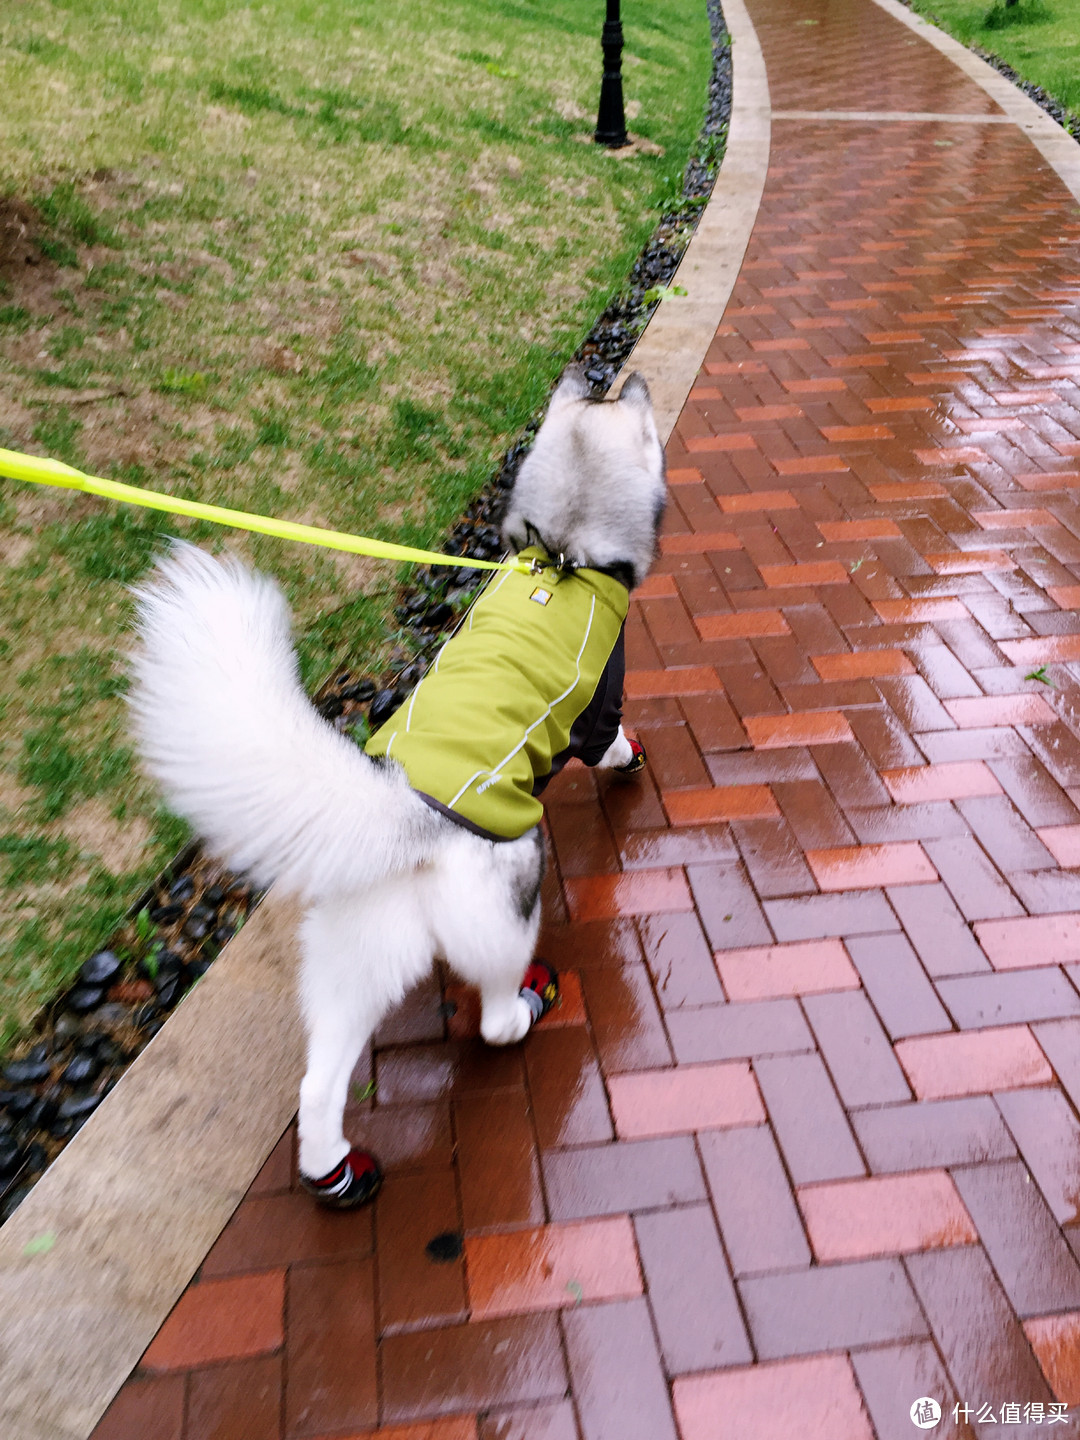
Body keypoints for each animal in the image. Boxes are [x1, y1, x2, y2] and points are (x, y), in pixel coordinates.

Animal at [126, 368, 668, 1203]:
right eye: (622, 403)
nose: (626, 376)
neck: (565, 549)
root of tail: (407, 812)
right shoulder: (595, 703)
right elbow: (606, 739)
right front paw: (629, 755)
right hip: (508, 903)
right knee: (491, 1017)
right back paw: (526, 1004)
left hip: (356, 955)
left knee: (319, 1084)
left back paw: (334, 1174)